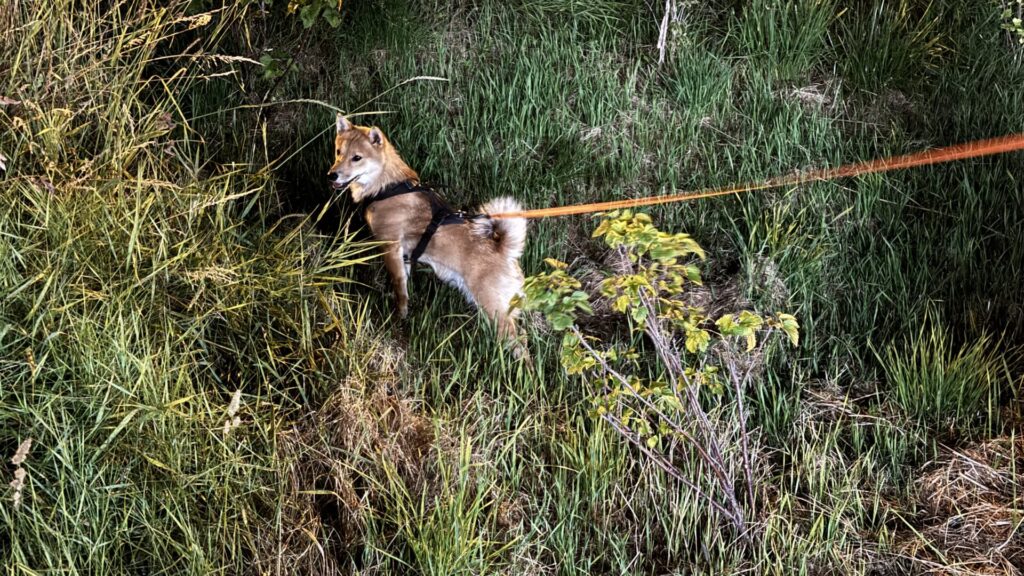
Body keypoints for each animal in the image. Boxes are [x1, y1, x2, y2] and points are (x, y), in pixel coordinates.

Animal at [327, 113, 528, 354]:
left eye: (357, 157)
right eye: (338, 151)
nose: (332, 175)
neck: (387, 186)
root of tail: (505, 251)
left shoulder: (390, 247)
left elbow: (399, 288)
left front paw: (400, 315)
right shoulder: (404, 256)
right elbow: (404, 285)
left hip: (495, 310)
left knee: (520, 346)